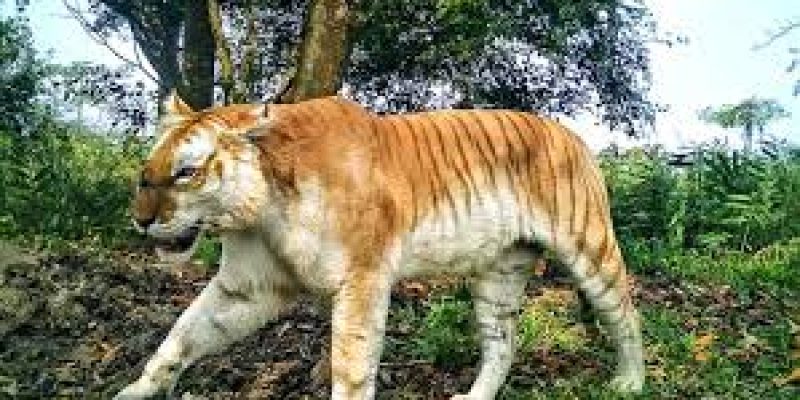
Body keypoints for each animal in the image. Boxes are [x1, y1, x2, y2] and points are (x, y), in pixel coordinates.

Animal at [114, 93, 645, 400]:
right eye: (147, 171)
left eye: (186, 172)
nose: (140, 220)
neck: (261, 209)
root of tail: (570, 133)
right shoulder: (245, 287)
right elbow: (181, 336)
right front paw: (136, 390)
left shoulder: (362, 278)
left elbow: (351, 366)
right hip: (498, 274)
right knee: (502, 345)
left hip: (589, 248)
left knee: (626, 316)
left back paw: (630, 382)